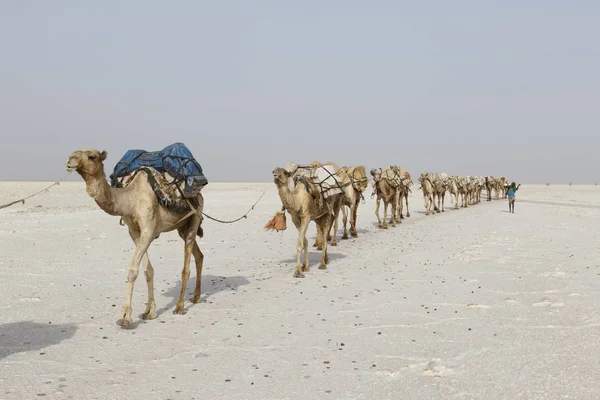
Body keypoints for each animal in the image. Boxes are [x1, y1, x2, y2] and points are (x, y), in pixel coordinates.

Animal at [67, 148, 205, 326]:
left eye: (92, 156)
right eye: (74, 153)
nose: (71, 159)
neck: (130, 198)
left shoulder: (149, 229)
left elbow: (133, 270)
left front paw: (125, 316)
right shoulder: (134, 231)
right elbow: (148, 270)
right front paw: (149, 312)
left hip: (195, 216)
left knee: (186, 263)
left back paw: (180, 306)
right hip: (182, 226)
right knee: (199, 255)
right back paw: (195, 296)